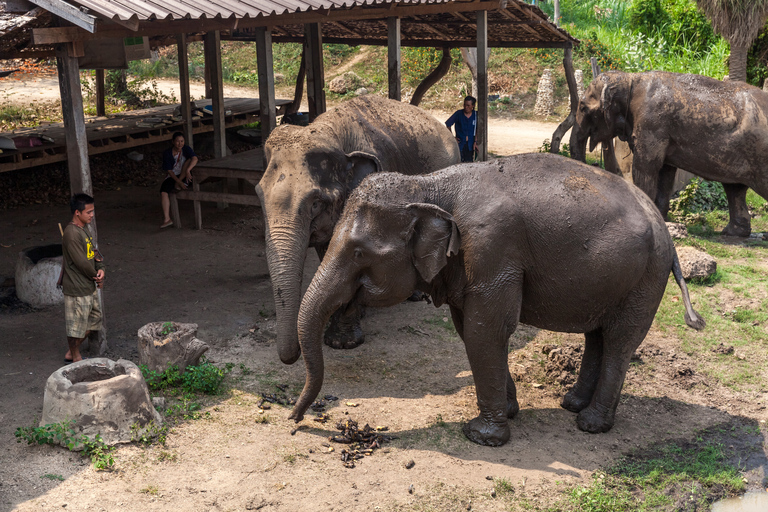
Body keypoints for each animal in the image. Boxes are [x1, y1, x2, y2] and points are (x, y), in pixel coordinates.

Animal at [258, 93, 460, 364]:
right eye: (258, 194)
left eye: (315, 203)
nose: (293, 356)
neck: (328, 131)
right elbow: (330, 249)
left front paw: (342, 343)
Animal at [290, 154, 708, 446]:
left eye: (359, 252)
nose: (294, 421)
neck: (428, 186)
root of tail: (666, 232)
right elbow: (469, 329)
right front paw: (509, 411)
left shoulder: (493, 249)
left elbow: (484, 331)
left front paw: (481, 436)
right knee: (598, 335)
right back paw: (572, 404)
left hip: (645, 279)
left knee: (620, 340)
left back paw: (590, 424)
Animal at [568, 70, 768, 238]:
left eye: (583, 108)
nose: (592, 164)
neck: (631, 78)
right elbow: (665, 172)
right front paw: (661, 219)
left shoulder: (652, 125)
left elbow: (646, 167)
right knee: (735, 189)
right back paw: (733, 233)